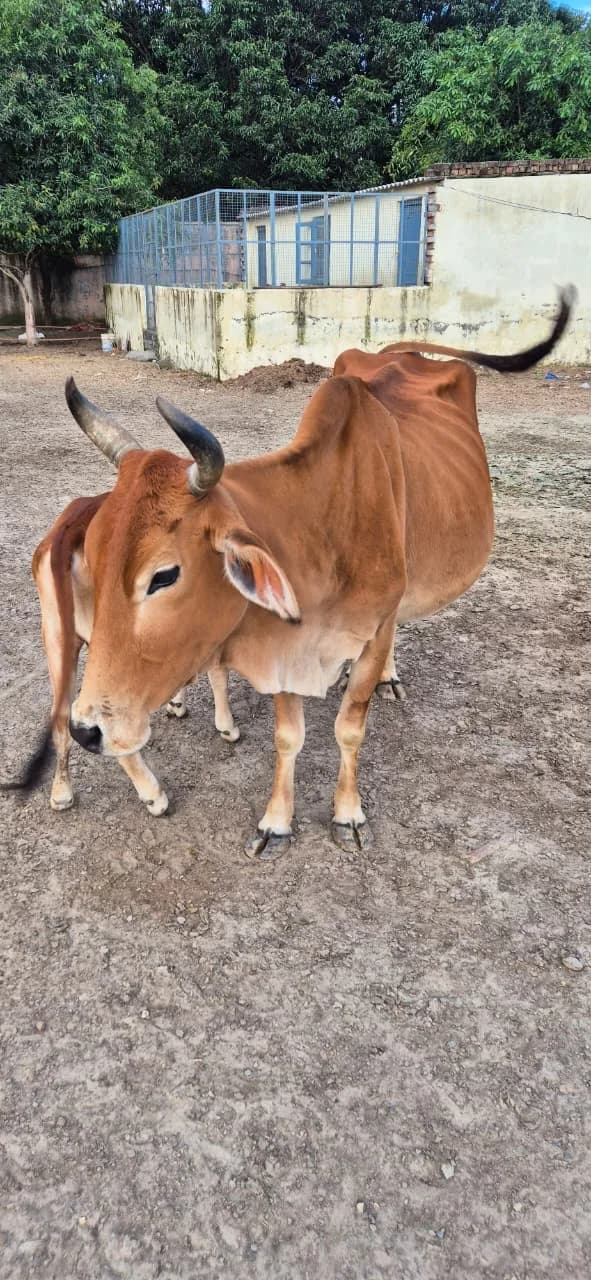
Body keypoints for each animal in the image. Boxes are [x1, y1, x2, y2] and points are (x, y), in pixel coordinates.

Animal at [4, 289, 574, 859]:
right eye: (94, 560)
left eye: (164, 575)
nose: (88, 729)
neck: (321, 527)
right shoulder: (284, 648)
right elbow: (288, 737)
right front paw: (277, 822)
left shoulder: (372, 629)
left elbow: (350, 727)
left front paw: (348, 814)